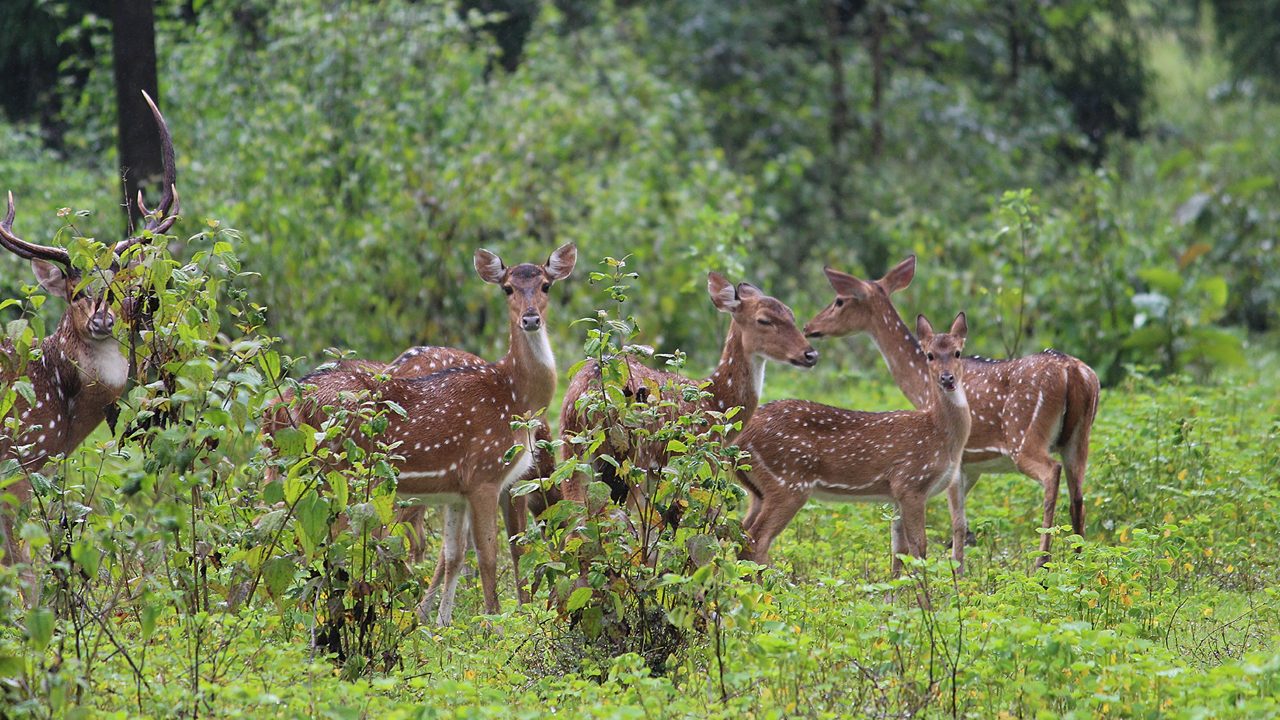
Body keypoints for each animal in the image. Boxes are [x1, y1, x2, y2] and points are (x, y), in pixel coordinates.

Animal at [264, 242, 576, 622]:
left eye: (546, 285)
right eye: (507, 288)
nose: (530, 319)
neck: (515, 396)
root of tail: (281, 405)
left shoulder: (458, 489)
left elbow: (455, 554)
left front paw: (440, 624)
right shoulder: (486, 475)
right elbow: (490, 555)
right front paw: (496, 621)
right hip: (336, 472)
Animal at [558, 271, 814, 525]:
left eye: (791, 314)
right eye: (764, 320)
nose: (810, 354)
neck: (718, 403)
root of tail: (589, 397)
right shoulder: (701, 461)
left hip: (572, 451)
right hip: (634, 459)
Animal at [732, 312, 967, 571]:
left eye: (957, 353)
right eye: (929, 355)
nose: (947, 378)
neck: (940, 435)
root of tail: (741, 437)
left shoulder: (896, 494)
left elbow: (899, 552)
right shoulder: (911, 482)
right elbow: (919, 549)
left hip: (758, 490)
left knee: (741, 534)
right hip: (788, 482)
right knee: (758, 538)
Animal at [808, 257, 1100, 566]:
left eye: (839, 300)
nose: (809, 327)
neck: (920, 385)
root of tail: (1073, 370)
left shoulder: (954, 457)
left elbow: (957, 522)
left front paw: (955, 568)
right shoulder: (972, 465)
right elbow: (962, 522)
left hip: (1023, 435)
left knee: (1051, 474)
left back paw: (1041, 562)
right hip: (1079, 439)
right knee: (1078, 499)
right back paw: (1080, 560)